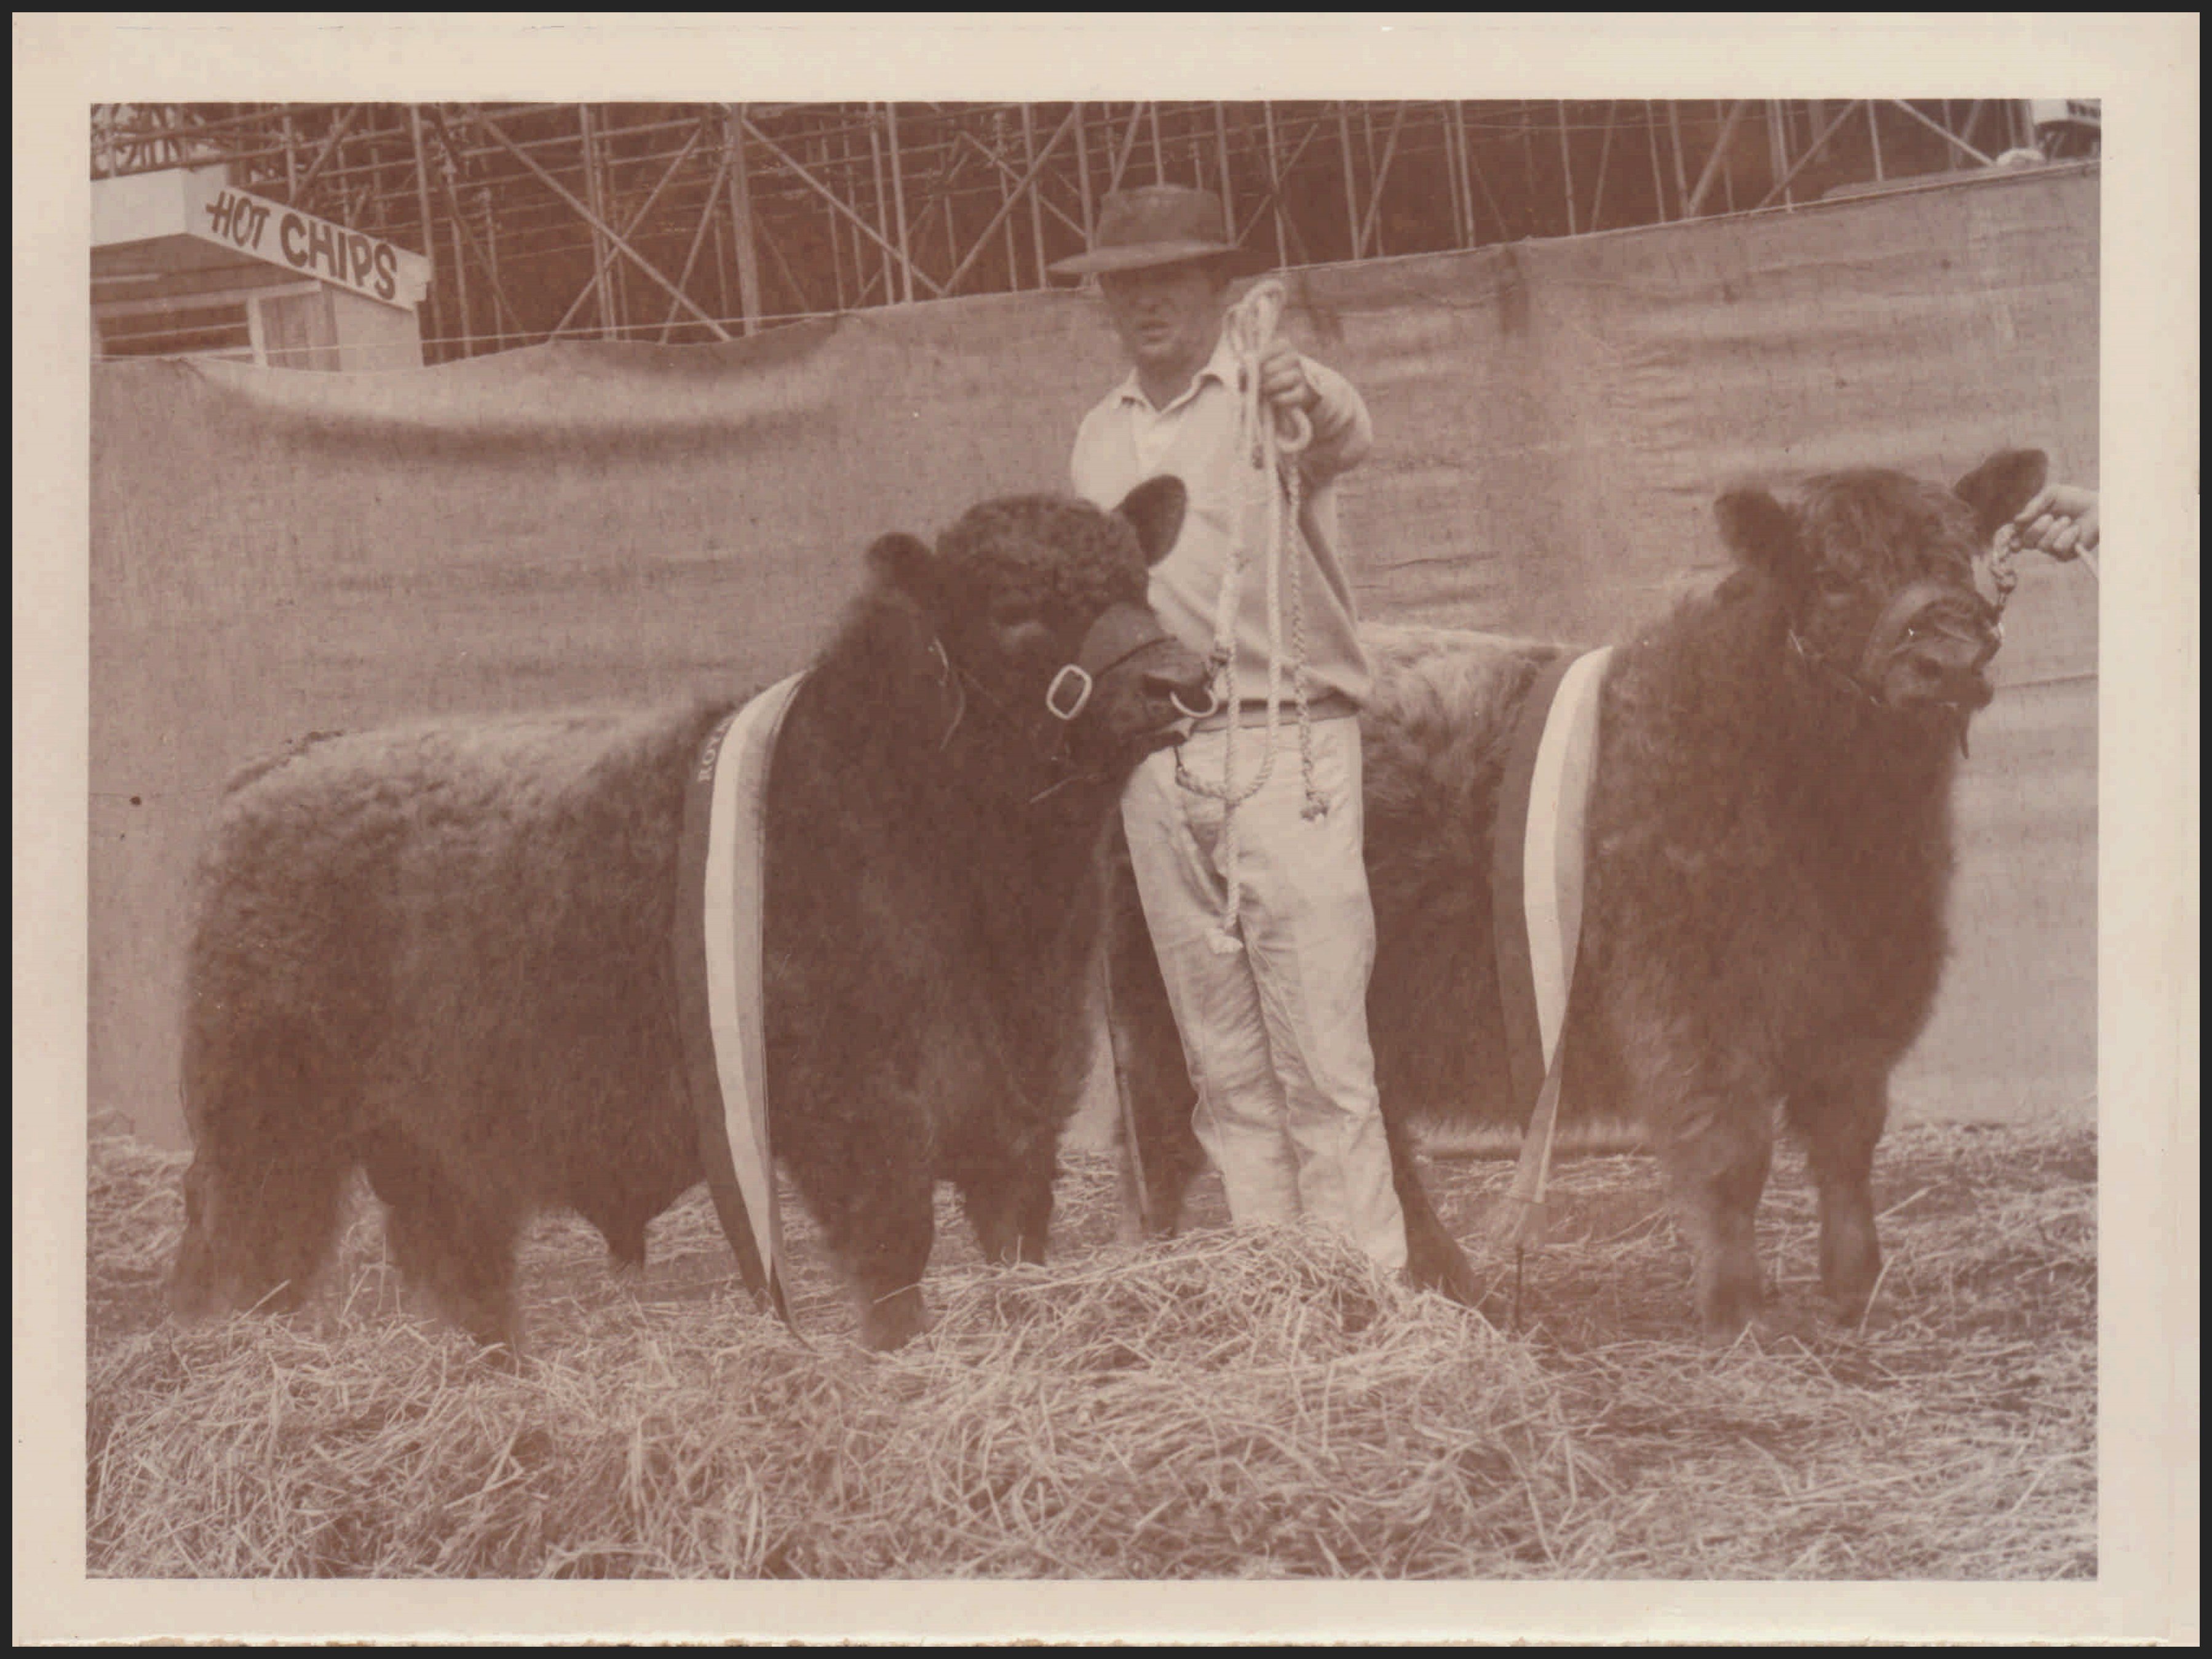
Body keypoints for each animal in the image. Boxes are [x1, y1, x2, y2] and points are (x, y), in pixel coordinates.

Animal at [170, 480, 1211, 1354]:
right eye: (1015, 611)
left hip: (437, 1149)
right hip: (269, 1130)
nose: (1181, 680)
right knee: (249, 1263)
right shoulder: (854, 1111)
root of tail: (275, 773)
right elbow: (893, 1261)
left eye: (1137, 583)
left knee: (461, 1272)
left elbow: (1011, 1242)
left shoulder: (1016, 1111)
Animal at [1109, 451, 2051, 1342]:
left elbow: (1847, 1147)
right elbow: (1732, 1151)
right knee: (1165, 1138)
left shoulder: (1859, 1003)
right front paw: (1739, 1308)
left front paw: (1857, 1287)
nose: (1949, 659)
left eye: (1960, 556)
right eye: (1832, 574)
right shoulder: (1691, 1007)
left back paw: (1453, 1284)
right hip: (1173, 997)